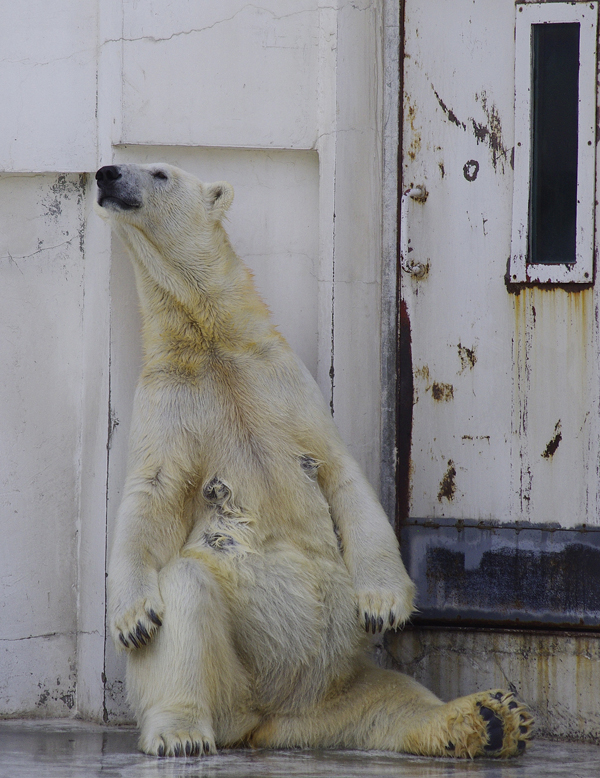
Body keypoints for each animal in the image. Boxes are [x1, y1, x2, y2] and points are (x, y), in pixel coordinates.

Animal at [96, 164, 532, 756]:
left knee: (396, 701)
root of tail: (274, 718)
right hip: (234, 675)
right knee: (187, 591)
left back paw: (488, 717)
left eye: (160, 171)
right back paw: (179, 732)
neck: (209, 338)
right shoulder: (169, 400)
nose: (105, 173)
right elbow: (152, 494)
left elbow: (338, 469)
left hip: (343, 681)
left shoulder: (281, 379)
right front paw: (133, 618)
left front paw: (383, 604)